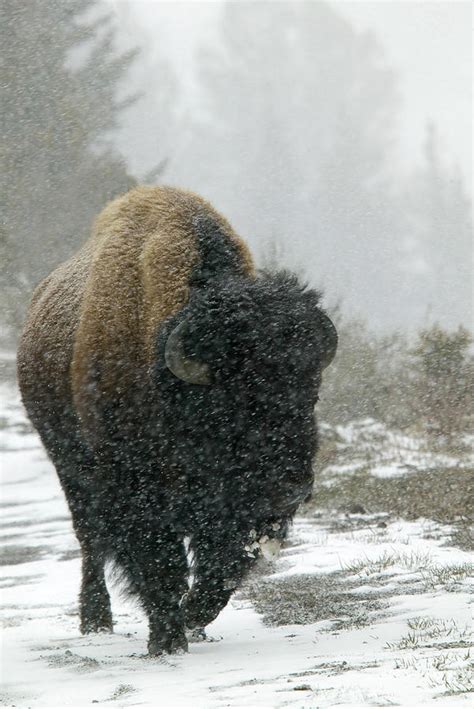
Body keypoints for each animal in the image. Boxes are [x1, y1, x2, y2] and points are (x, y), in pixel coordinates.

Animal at [17, 185, 336, 656]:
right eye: (234, 402)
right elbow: (159, 565)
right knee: (90, 543)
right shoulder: (137, 495)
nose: (291, 488)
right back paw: (95, 621)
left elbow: (220, 569)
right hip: (70, 470)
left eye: (310, 393)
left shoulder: (230, 513)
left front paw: (193, 621)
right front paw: (167, 641)